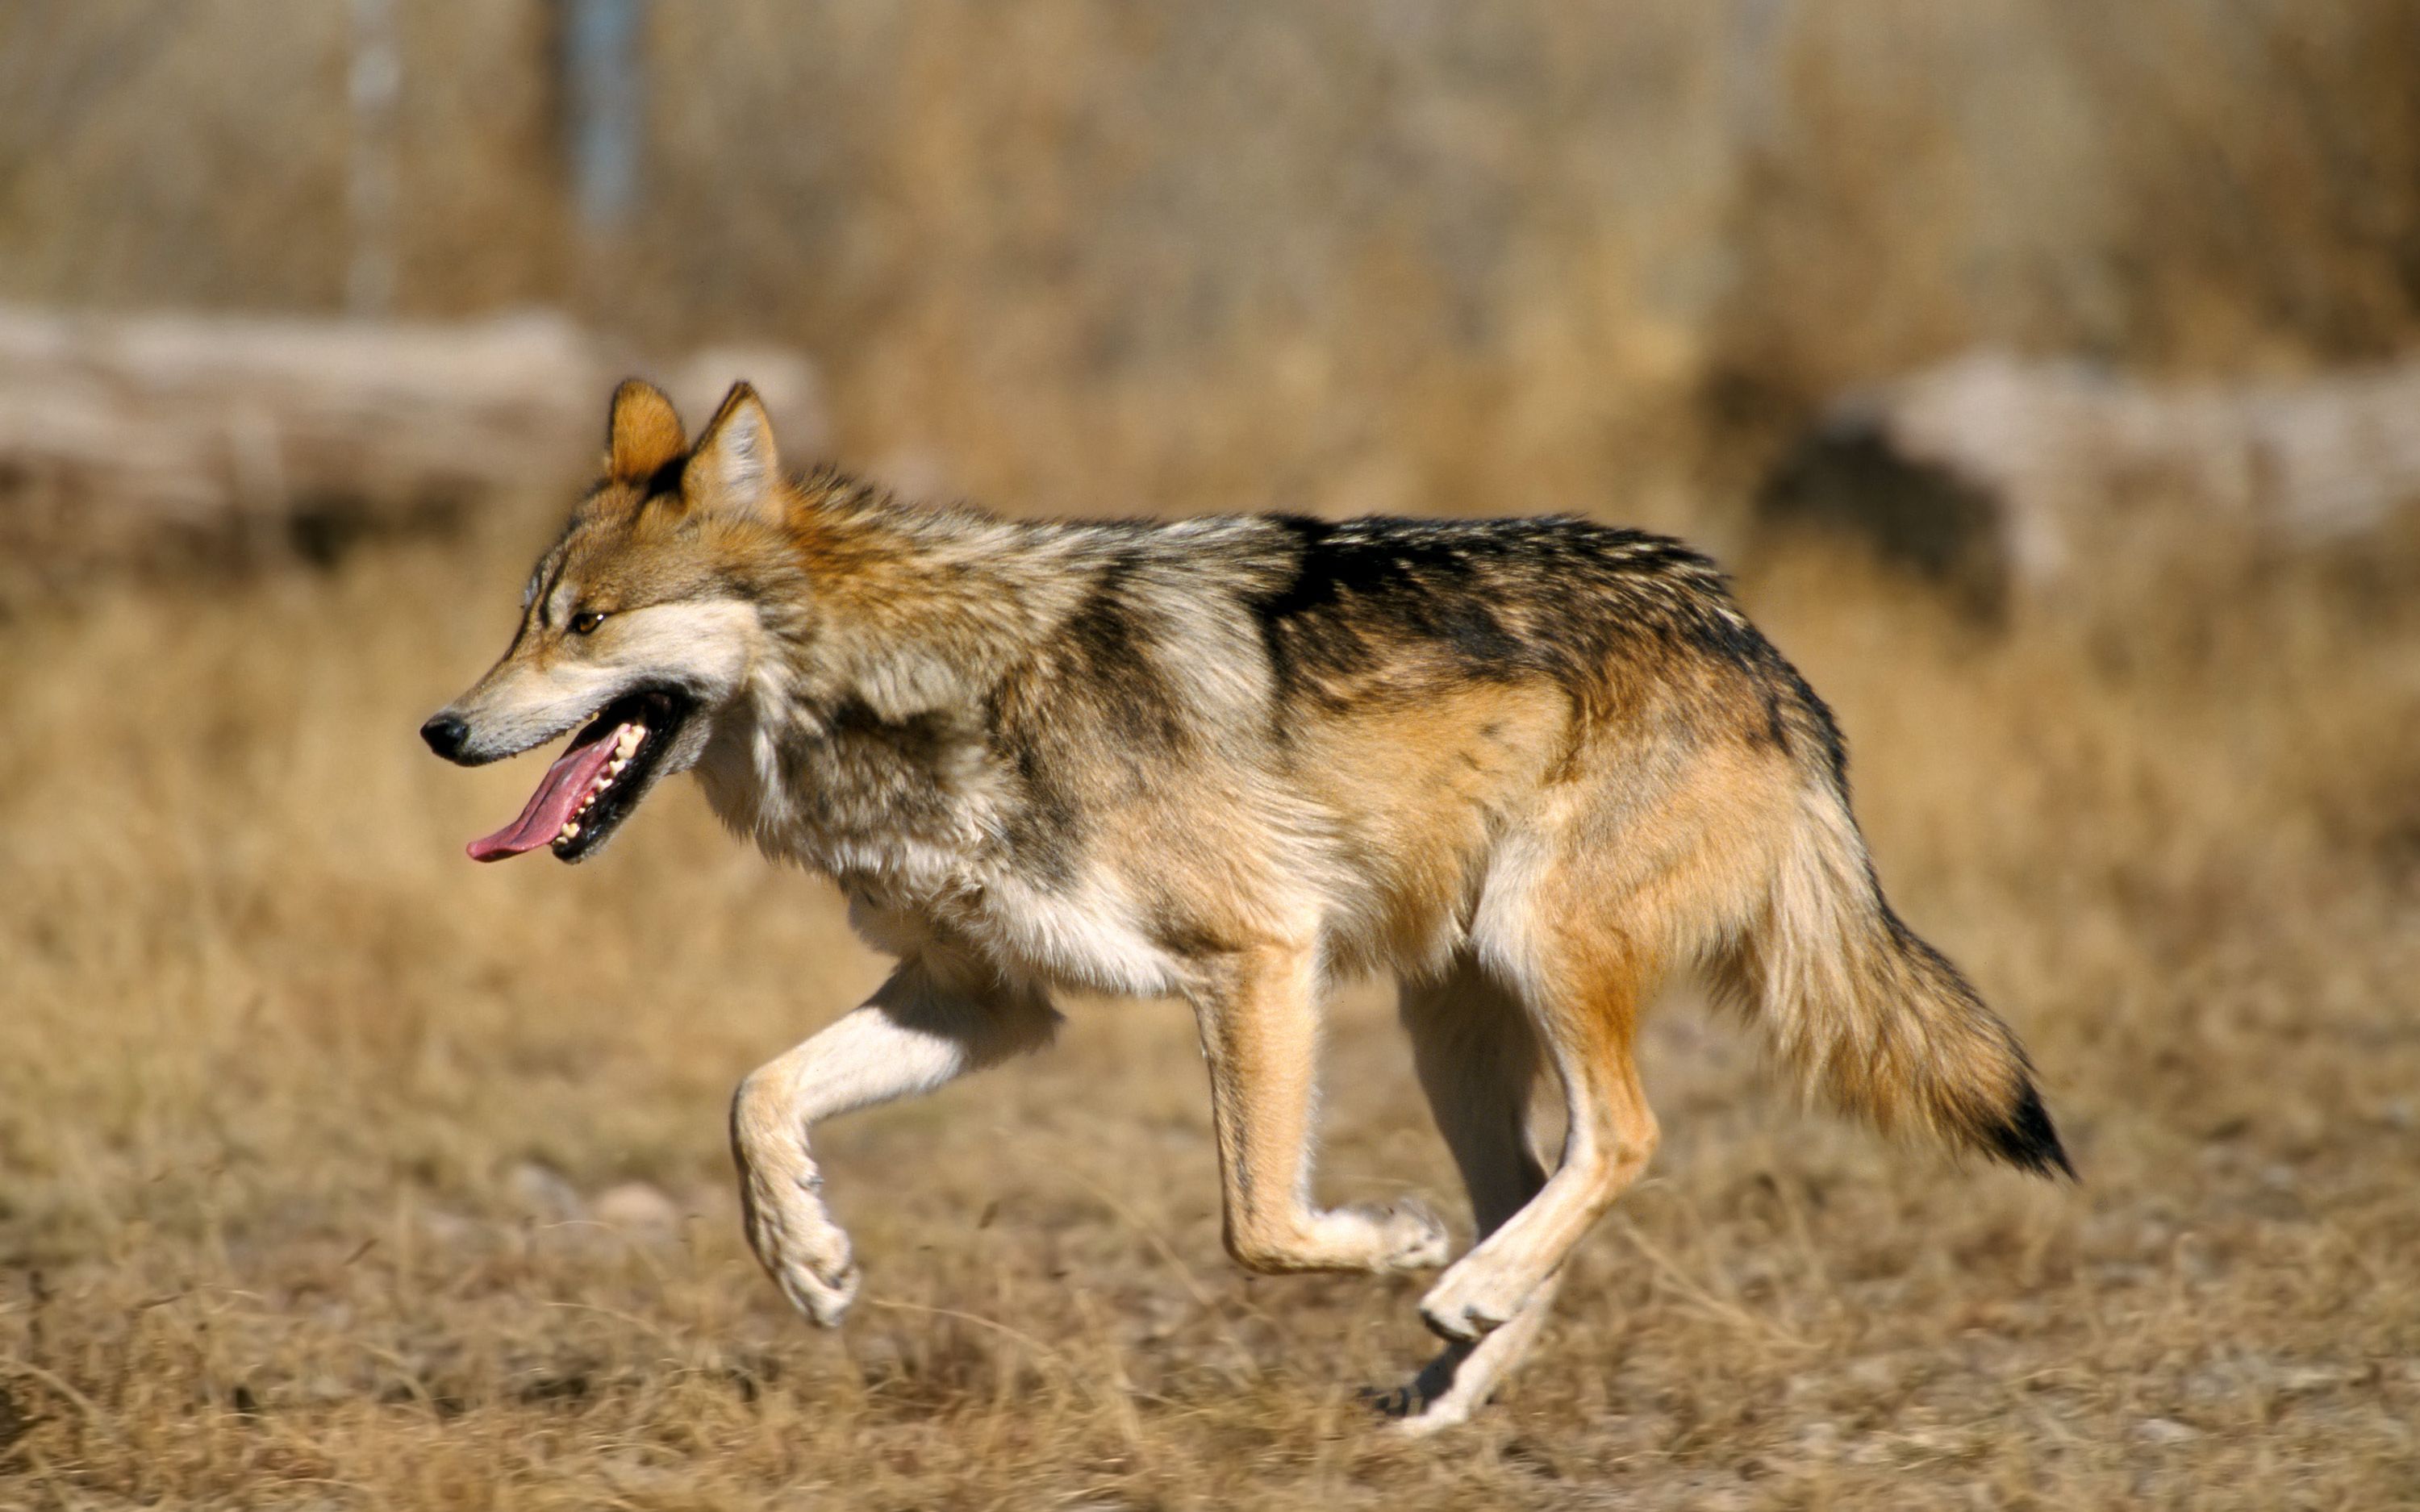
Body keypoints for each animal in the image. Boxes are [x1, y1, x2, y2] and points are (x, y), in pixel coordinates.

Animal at [421, 380, 2081, 1422]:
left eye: (585, 625)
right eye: (521, 620)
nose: (440, 728)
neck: (919, 688)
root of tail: (1754, 641)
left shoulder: (1257, 959)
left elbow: (1260, 1225)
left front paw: (1392, 1244)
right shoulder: (985, 1002)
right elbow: (756, 1096)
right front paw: (809, 1261)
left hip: (1531, 954)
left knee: (1622, 1140)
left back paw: (1455, 1289)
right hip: (1448, 1021)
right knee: (1542, 1187)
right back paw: (1448, 1383)